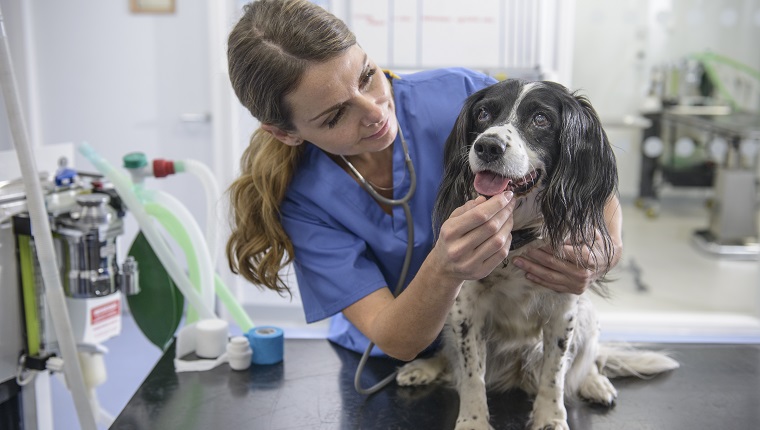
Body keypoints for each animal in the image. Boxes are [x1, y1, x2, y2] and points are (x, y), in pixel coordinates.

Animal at [394, 80, 680, 430]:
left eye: (541, 119)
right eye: (483, 113)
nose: (487, 146)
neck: (518, 237)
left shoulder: (563, 311)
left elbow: (554, 375)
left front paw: (550, 417)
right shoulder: (466, 309)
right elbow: (472, 375)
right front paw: (473, 420)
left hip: (587, 316)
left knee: (589, 361)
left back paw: (594, 383)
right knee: (451, 359)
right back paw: (424, 367)